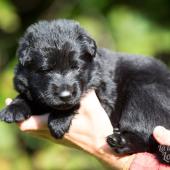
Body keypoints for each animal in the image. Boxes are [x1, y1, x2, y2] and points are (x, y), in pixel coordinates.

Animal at [0, 19, 170, 164]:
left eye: (76, 67)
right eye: (45, 70)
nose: (65, 95)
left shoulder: (102, 91)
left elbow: (74, 102)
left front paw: (58, 120)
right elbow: (28, 94)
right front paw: (14, 107)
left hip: (145, 92)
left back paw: (121, 141)